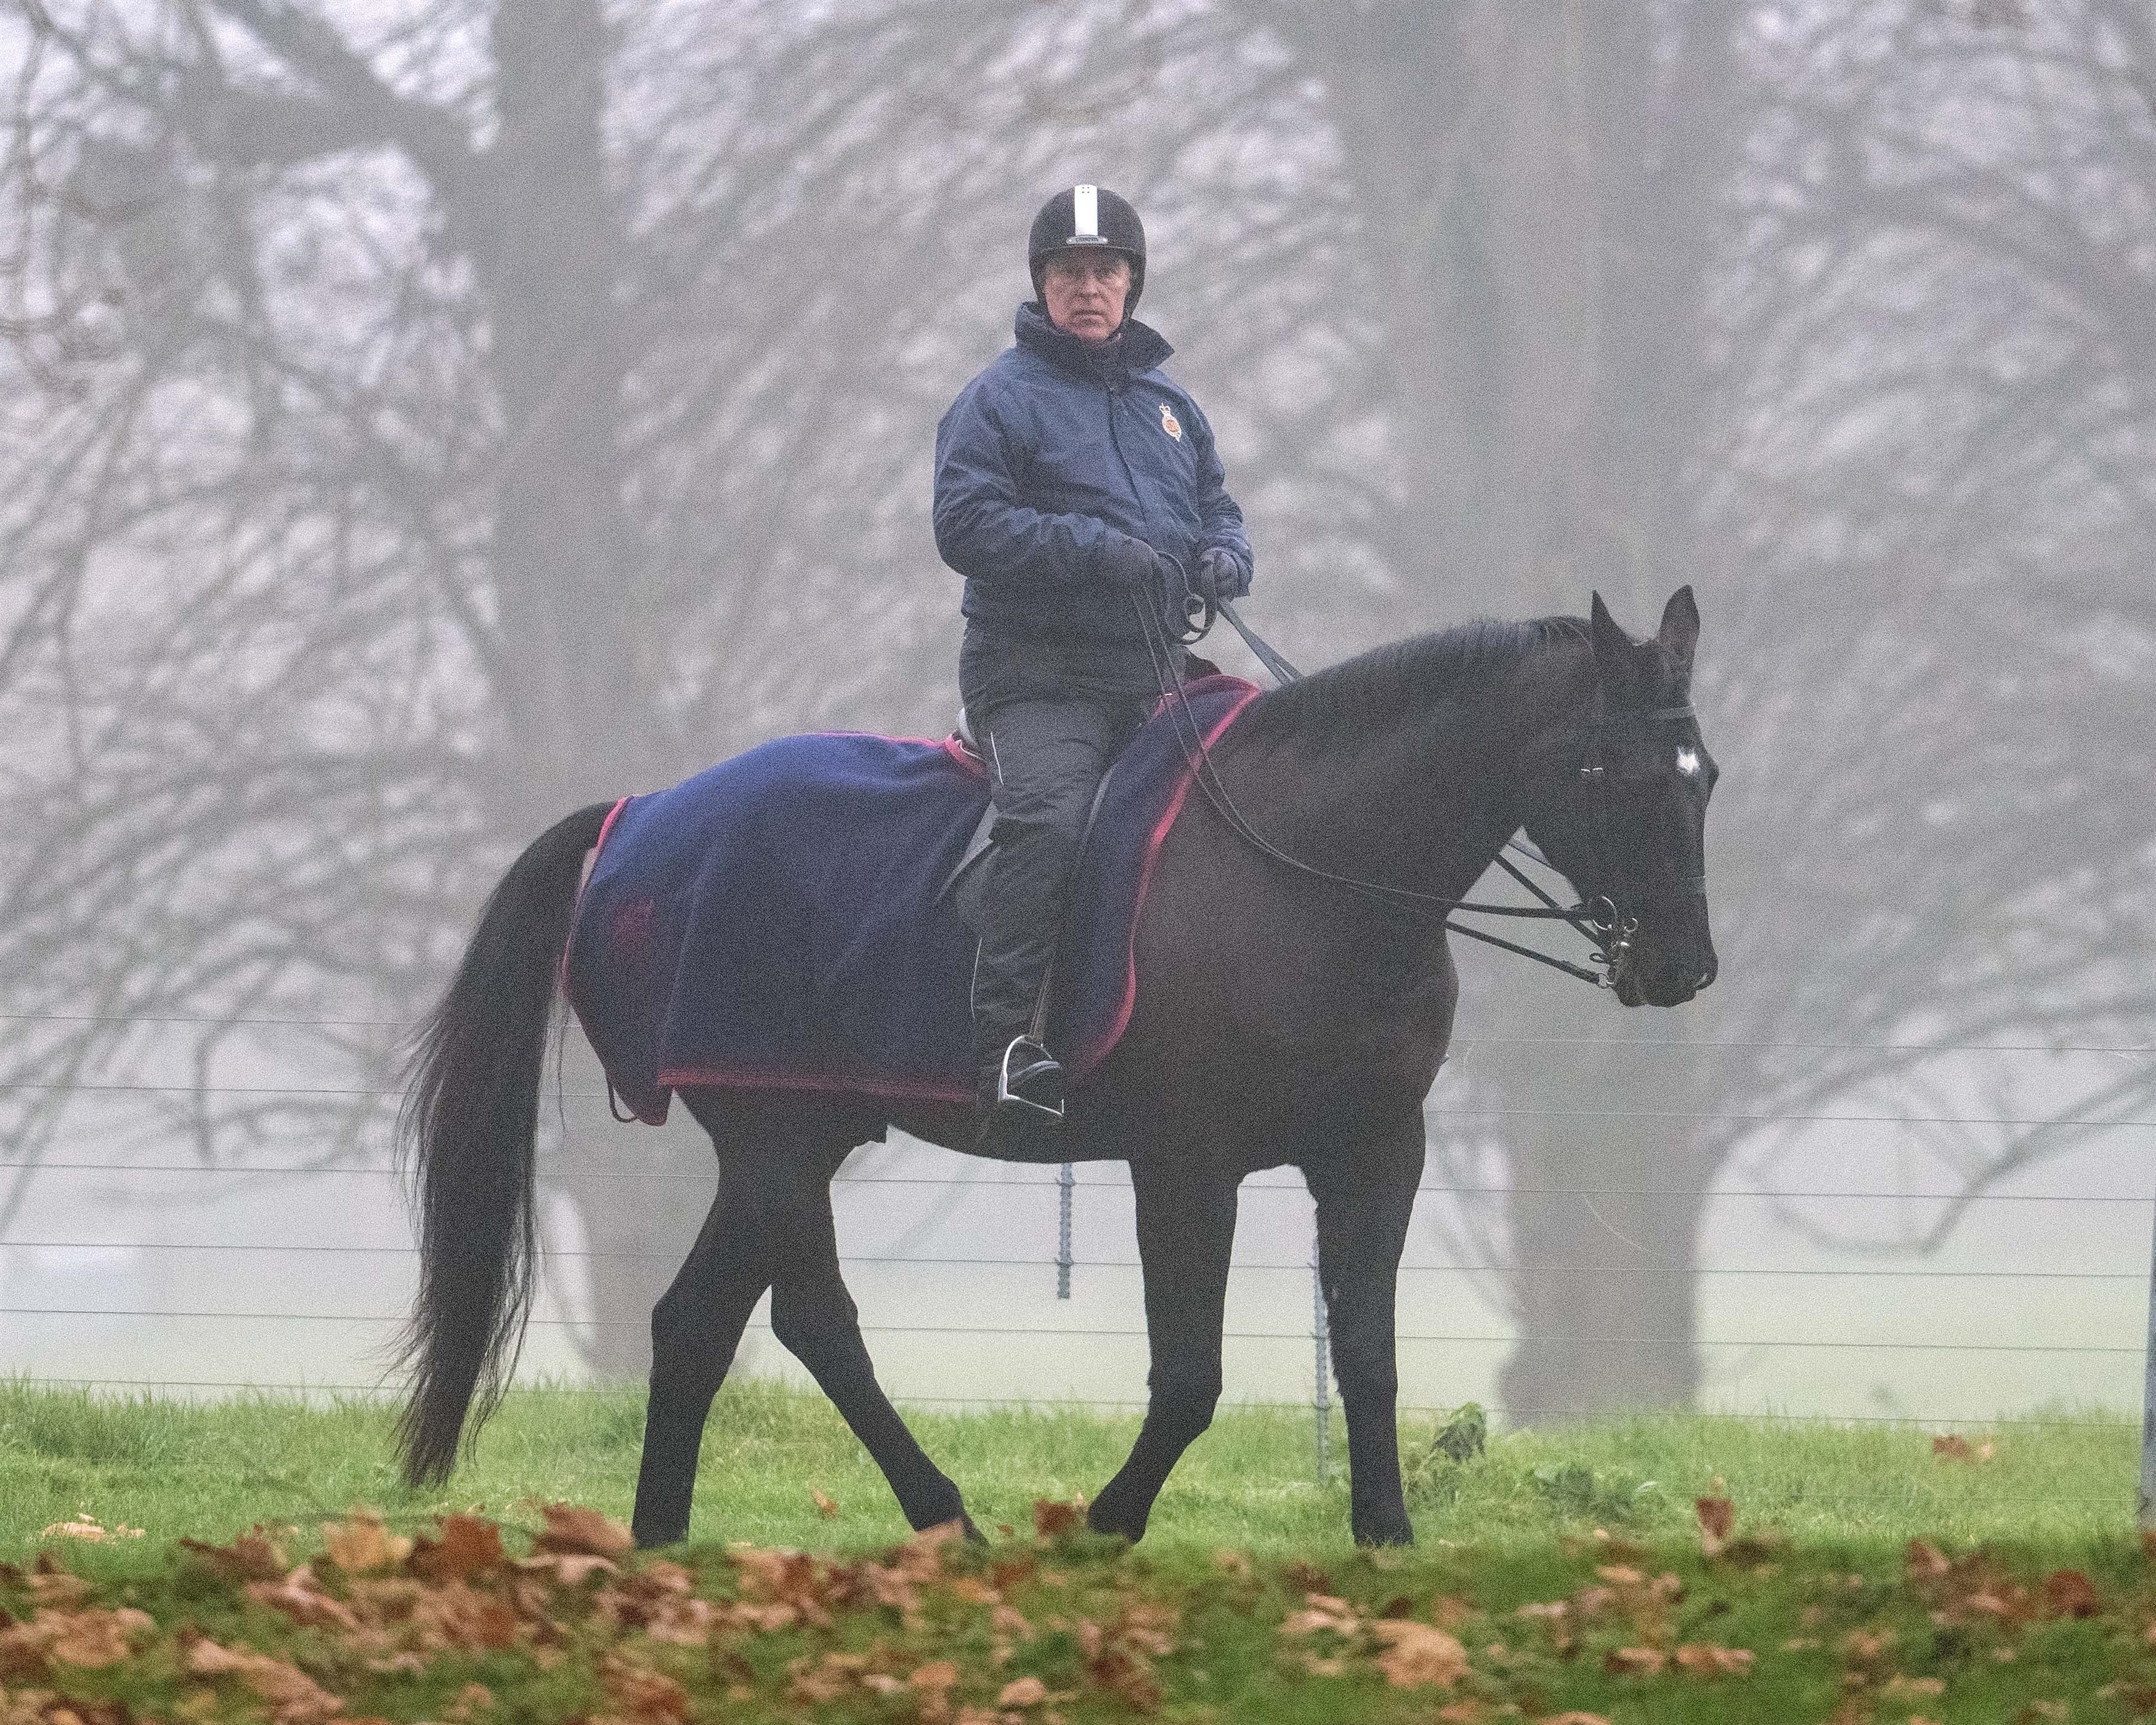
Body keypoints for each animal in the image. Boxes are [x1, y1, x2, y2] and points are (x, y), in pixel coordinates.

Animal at [392, 587, 1717, 1549]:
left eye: (1702, 776)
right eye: (1610, 771)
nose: (1685, 966)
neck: (1309, 870)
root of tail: (642, 813)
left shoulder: (1377, 1151)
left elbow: (1369, 1355)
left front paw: (1385, 1536)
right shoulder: (1186, 1163)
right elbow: (1190, 1376)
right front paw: (1105, 1524)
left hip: (798, 1139)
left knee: (733, 1322)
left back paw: (738, 1533)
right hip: (776, 1137)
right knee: (770, 1322)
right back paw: (855, 1525)